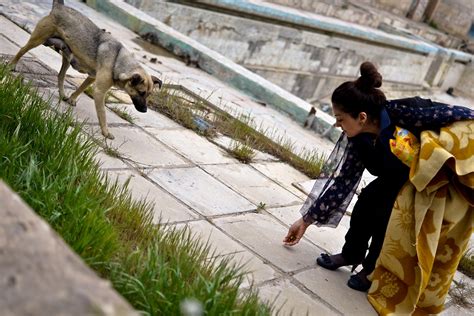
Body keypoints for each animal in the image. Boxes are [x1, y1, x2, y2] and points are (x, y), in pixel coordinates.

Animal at [8, 0, 161, 138]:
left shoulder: (92, 77)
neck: (118, 60)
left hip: (67, 56)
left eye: (148, 94)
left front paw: (72, 99)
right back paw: (12, 65)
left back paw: (62, 93)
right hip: (38, 38)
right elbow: (102, 113)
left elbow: (81, 88)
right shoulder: (99, 92)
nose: (145, 110)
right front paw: (105, 132)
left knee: (60, 75)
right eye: (141, 92)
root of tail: (60, 6)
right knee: (22, 50)